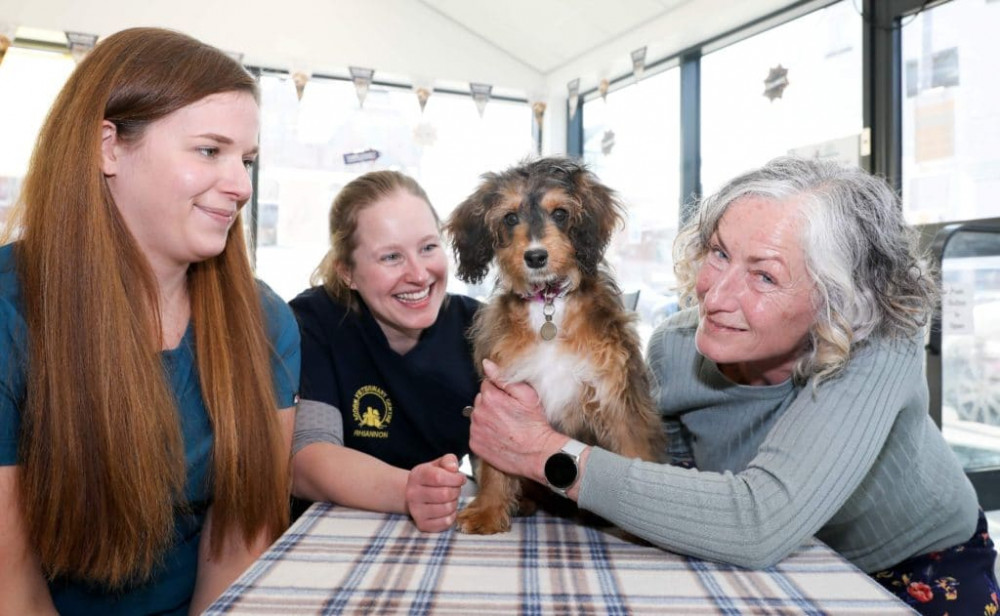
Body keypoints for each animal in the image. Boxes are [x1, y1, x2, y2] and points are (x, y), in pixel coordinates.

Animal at [446, 155, 664, 536]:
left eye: (560, 213)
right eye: (510, 217)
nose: (535, 257)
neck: (549, 305)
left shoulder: (619, 398)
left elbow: (633, 450)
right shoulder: (504, 392)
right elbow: (495, 465)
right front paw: (488, 510)